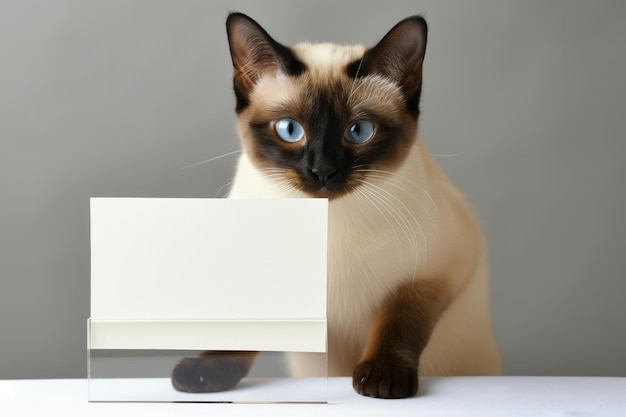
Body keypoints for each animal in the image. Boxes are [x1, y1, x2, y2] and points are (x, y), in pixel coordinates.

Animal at [169, 11, 498, 398]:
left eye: (359, 131)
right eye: (289, 130)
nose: (322, 171)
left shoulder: (437, 272)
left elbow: (399, 324)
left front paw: (382, 376)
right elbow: (241, 330)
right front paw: (206, 372)